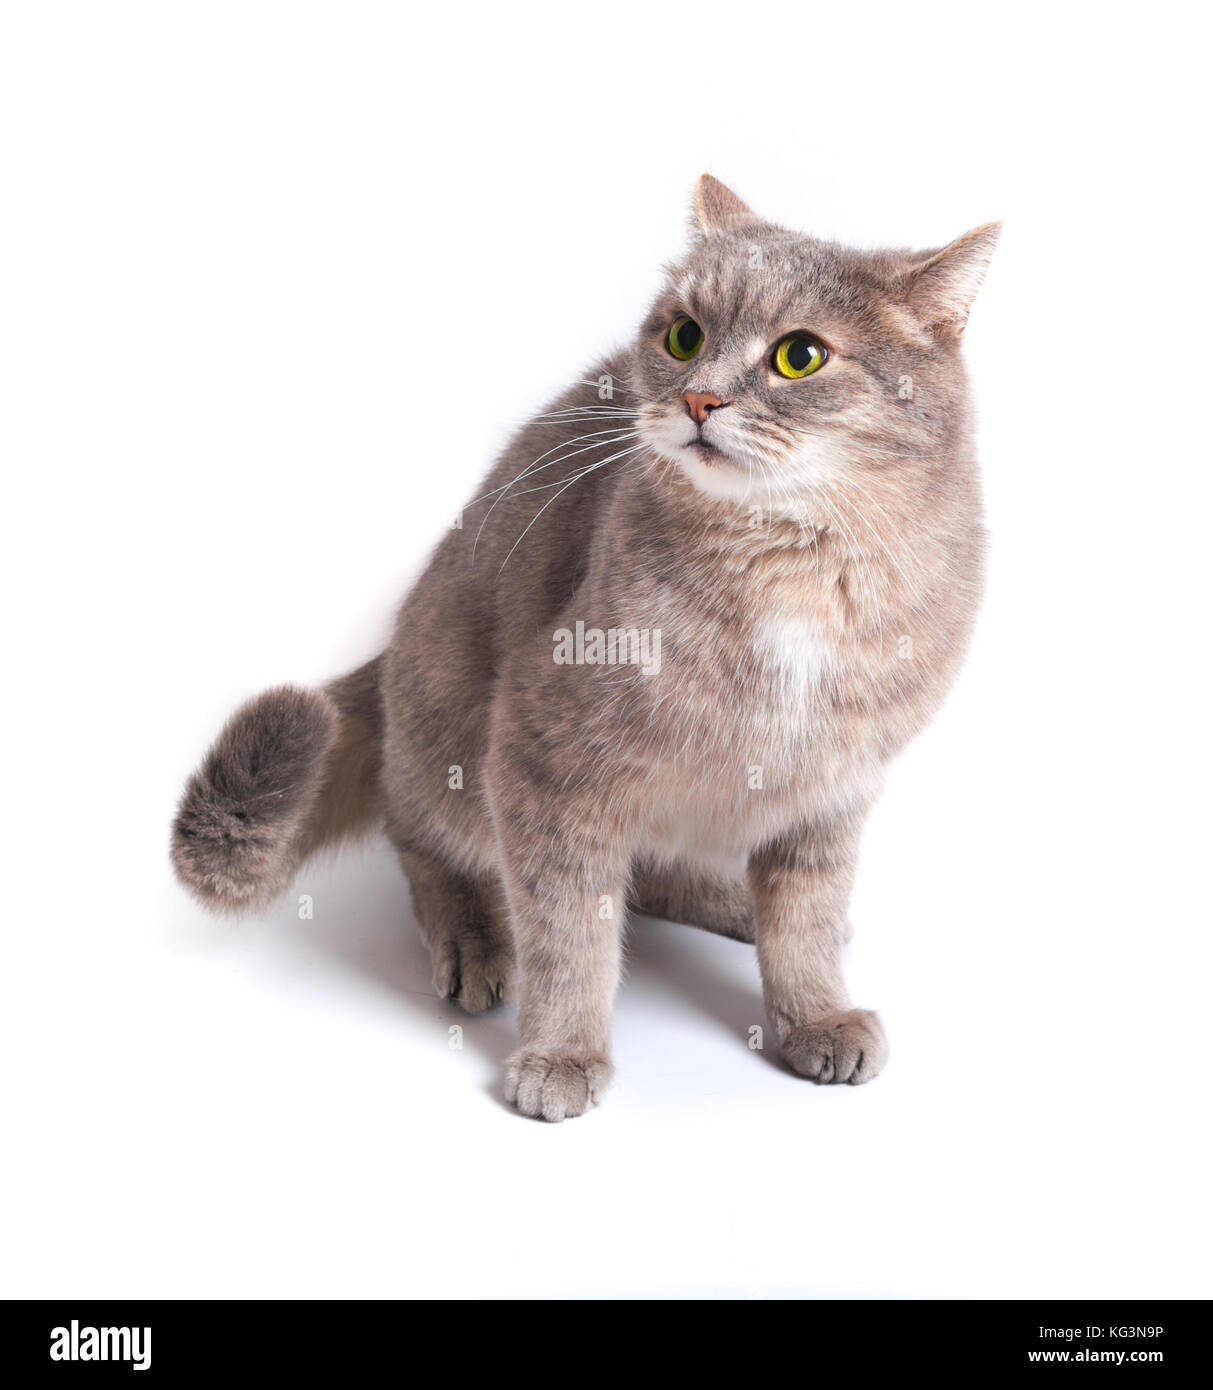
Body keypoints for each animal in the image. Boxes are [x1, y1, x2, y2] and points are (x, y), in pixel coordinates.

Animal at [172, 179, 1005, 1123]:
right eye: (685, 337)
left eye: (800, 356)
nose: (698, 400)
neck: (787, 574)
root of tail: (390, 645)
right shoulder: (545, 764)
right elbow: (570, 934)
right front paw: (561, 1055)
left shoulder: (830, 789)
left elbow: (806, 921)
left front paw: (814, 1016)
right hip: (447, 730)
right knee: (423, 840)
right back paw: (475, 938)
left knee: (664, 875)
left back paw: (737, 905)